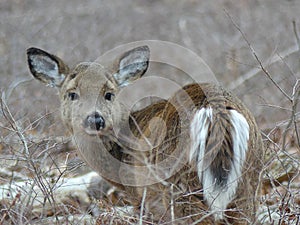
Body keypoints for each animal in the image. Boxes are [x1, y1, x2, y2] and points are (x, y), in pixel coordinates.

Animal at [27, 44, 264, 224]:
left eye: (109, 94)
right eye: (72, 94)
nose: (95, 119)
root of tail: (215, 110)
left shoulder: (142, 198)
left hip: (179, 186)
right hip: (247, 185)